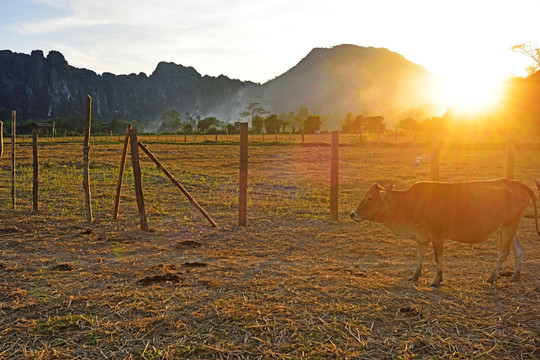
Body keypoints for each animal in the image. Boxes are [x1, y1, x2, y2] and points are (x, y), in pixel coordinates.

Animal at [352, 179, 536, 286]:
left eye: (370, 198)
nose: (352, 214)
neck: (410, 204)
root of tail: (517, 184)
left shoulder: (437, 236)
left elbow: (438, 258)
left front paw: (436, 280)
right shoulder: (422, 238)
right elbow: (419, 257)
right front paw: (415, 276)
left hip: (508, 227)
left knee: (503, 252)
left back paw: (492, 277)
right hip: (510, 227)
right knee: (518, 249)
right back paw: (515, 276)